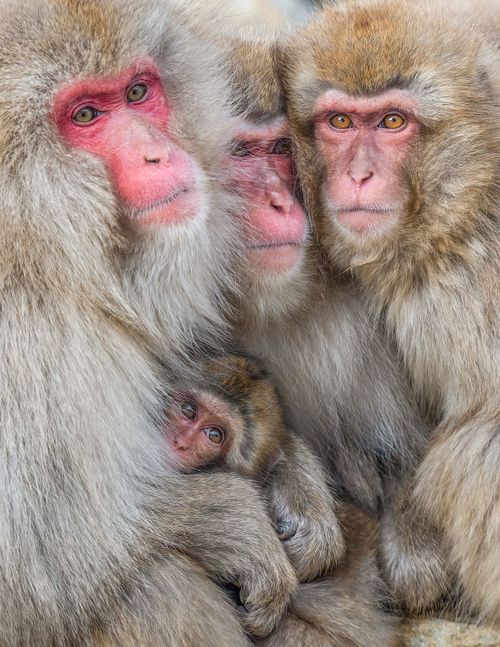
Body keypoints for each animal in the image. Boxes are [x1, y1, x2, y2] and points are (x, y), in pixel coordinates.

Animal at [0, 1, 299, 645]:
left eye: (138, 92)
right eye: (85, 114)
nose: (158, 154)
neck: (35, 246)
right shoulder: (31, 347)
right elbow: (42, 570)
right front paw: (230, 520)